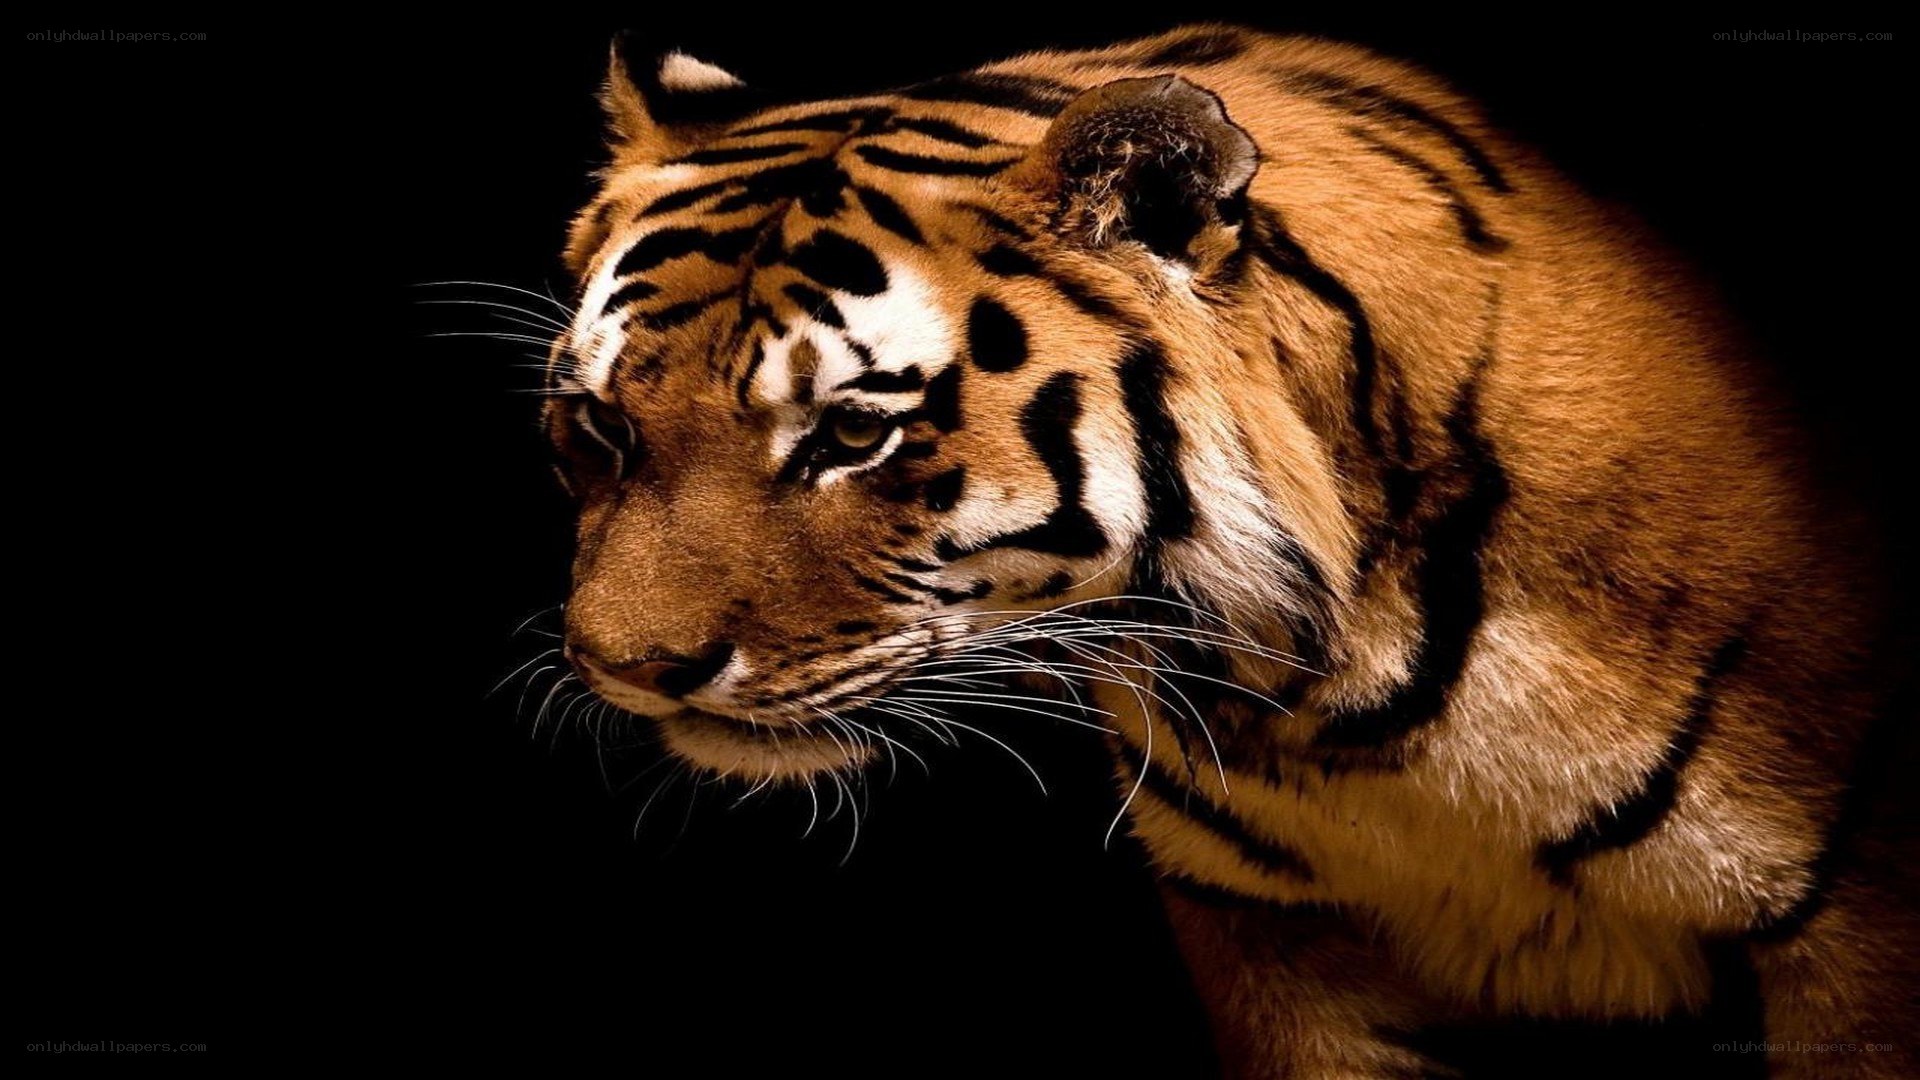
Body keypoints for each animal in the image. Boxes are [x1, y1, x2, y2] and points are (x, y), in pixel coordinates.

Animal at [539, 24, 1915, 1078]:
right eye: (600, 427)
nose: (628, 669)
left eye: (850, 433)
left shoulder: (1853, 929)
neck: (1336, 703)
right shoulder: (1271, 937)